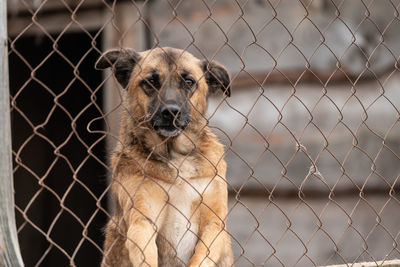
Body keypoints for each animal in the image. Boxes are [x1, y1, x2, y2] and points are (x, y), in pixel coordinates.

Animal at [95, 47, 233, 266]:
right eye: (151, 81)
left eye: (189, 82)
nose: (171, 112)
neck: (176, 158)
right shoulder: (143, 222)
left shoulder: (214, 223)